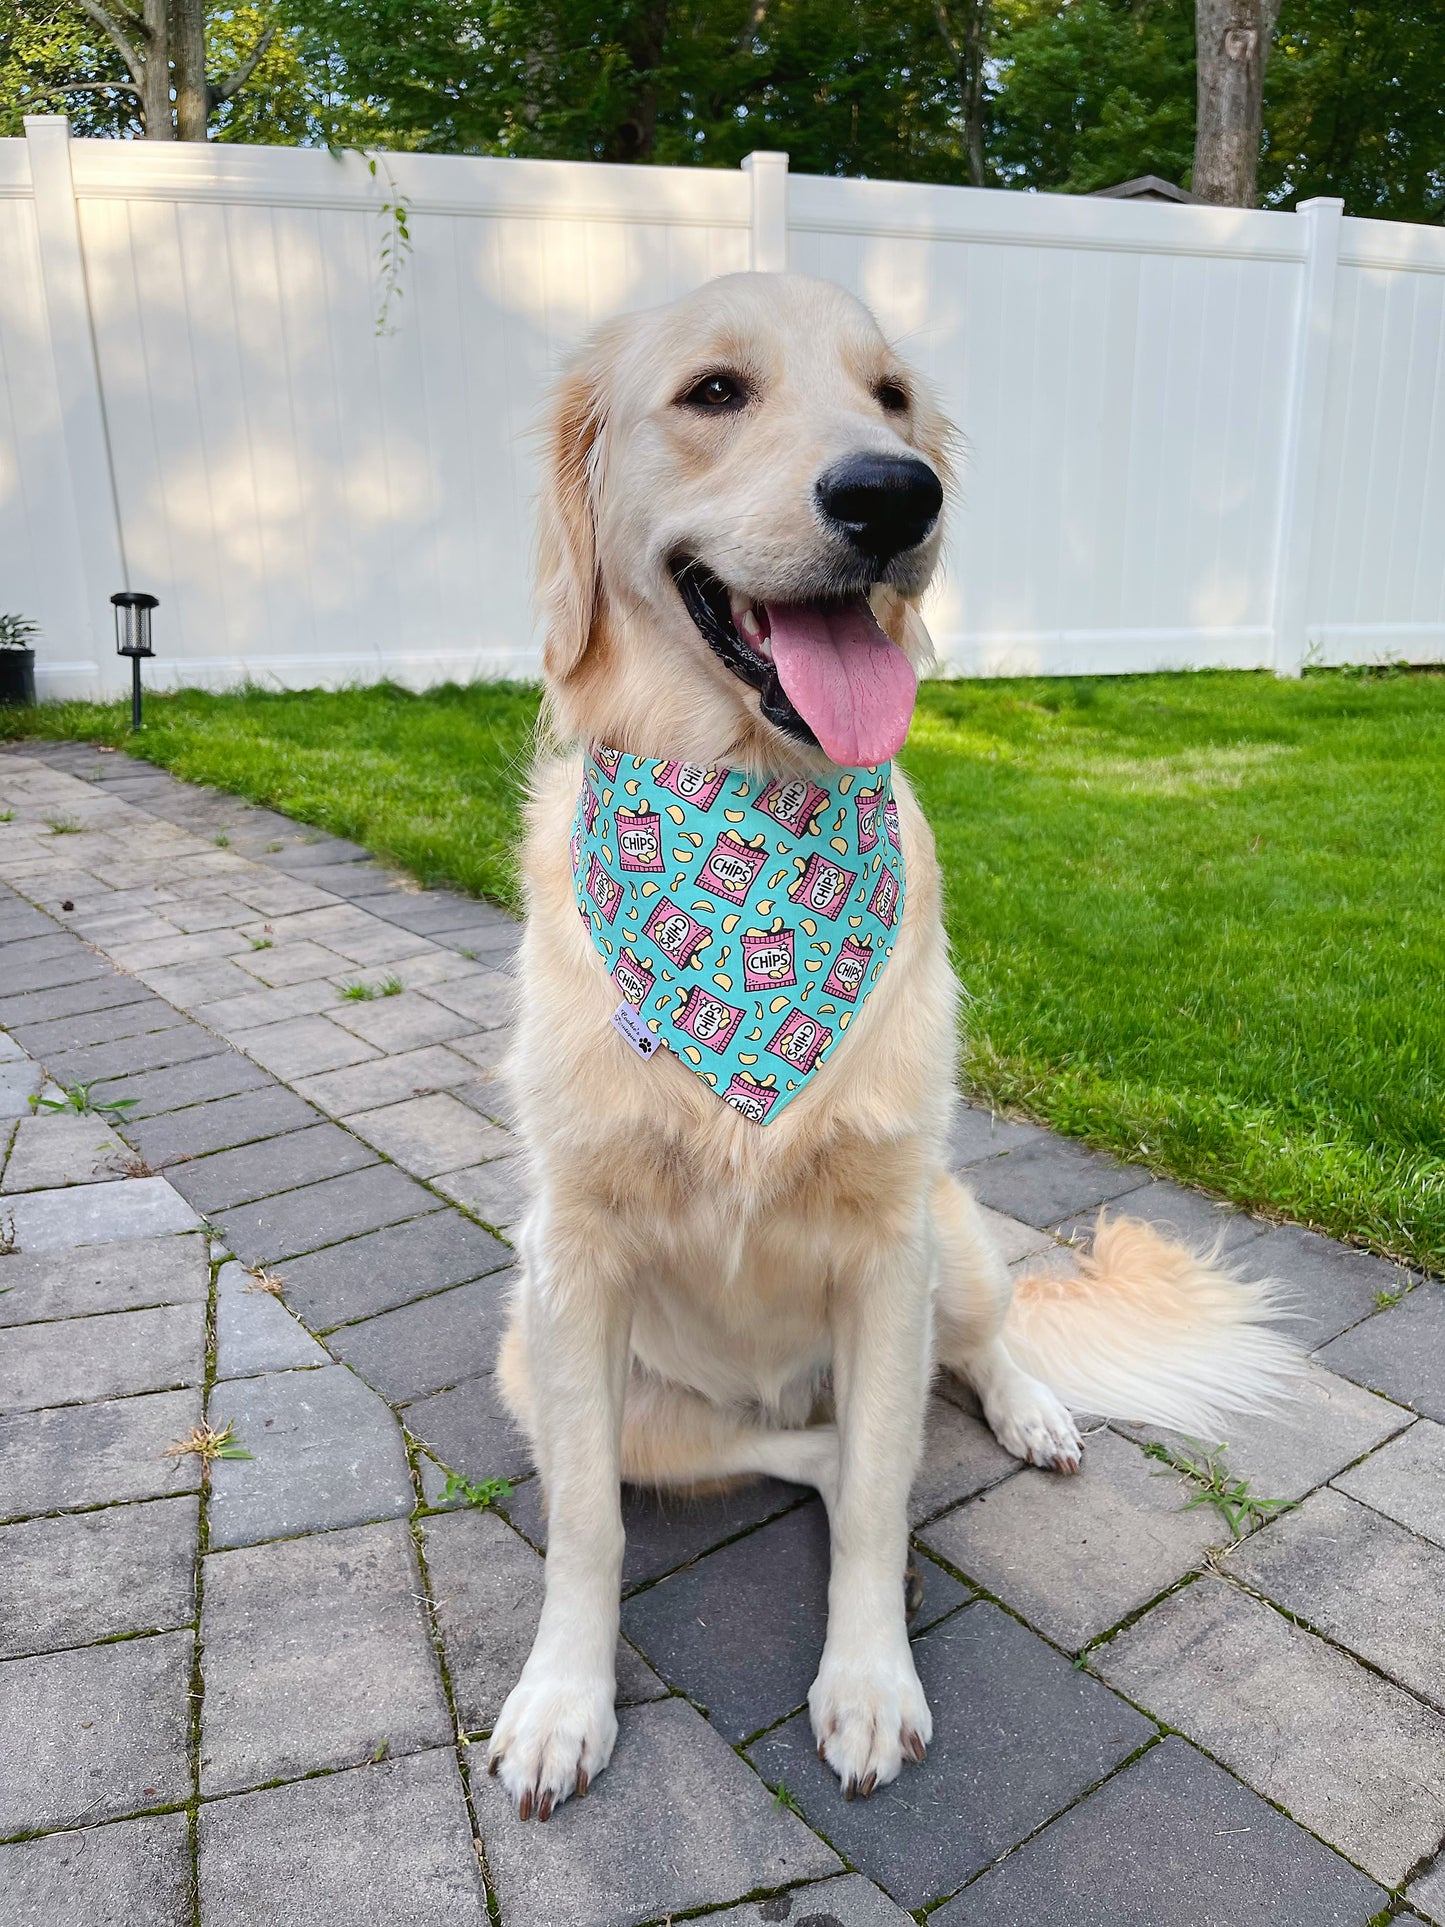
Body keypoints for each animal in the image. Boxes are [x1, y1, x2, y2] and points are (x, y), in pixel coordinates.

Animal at [489, 271, 1302, 1819]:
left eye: (892, 399)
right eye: (714, 391)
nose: (892, 495)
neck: (751, 825)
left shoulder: (884, 1247)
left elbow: (875, 1500)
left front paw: (867, 1683)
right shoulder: (571, 1260)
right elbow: (593, 1525)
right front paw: (563, 1697)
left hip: (951, 1235)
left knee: (966, 1361)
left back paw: (1031, 1412)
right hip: (554, 1362)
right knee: (776, 1444)